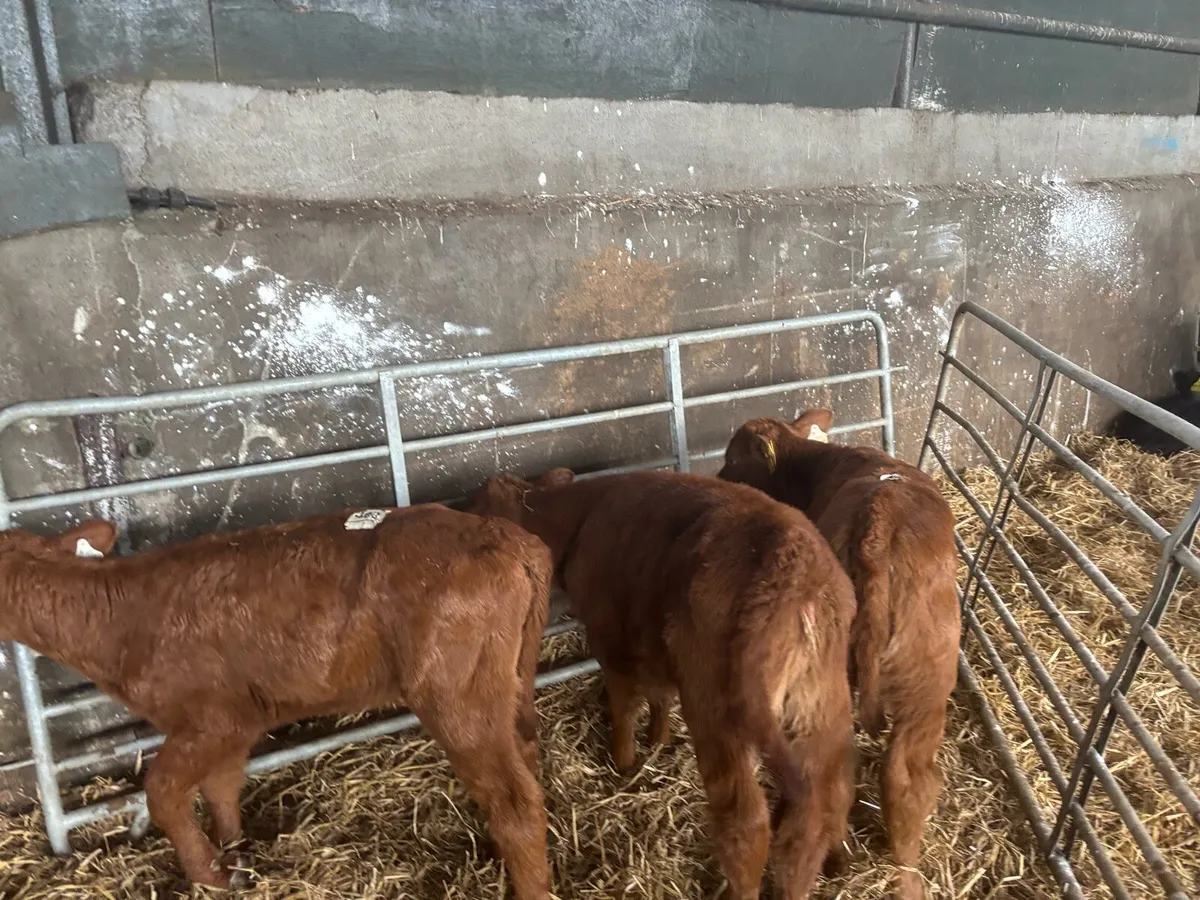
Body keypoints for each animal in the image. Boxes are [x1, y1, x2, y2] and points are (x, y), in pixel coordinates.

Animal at [0, 505, 552, 898]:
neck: (117, 620)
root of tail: (507, 537)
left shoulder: (208, 719)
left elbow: (162, 793)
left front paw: (209, 873)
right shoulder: (238, 721)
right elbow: (221, 788)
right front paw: (237, 858)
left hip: (456, 695)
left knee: (514, 799)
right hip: (507, 683)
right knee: (525, 755)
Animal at [467, 468, 856, 900]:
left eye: (477, 504)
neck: (582, 514)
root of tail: (800, 578)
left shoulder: (610, 637)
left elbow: (624, 704)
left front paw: (622, 760)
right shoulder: (651, 643)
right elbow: (659, 695)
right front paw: (658, 740)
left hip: (719, 712)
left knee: (747, 823)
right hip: (822, 707)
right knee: (828, 797)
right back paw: (830, 862)